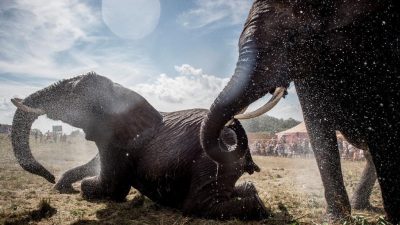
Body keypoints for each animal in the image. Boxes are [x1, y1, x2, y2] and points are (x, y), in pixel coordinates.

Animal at [10, 73, 270, 221]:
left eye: (74, 93)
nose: (50, 177)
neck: (119, 89)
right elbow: (95, 164)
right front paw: (62, 186)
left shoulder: (118, 143)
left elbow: (112, 188)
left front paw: (80, 188)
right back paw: (250, 192)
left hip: (213, 159)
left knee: (198, 205)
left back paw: (258, 209)